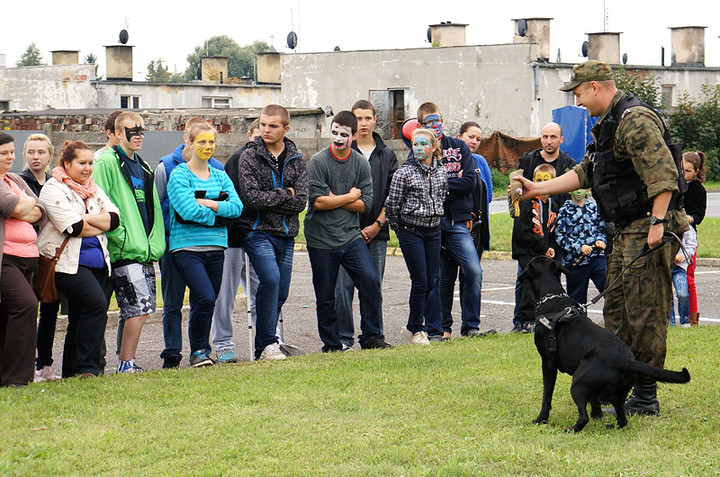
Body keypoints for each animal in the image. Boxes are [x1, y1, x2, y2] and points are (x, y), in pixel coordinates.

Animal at [516, 256, 692, 432]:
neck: (552, 298)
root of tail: (626, 361)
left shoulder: (548, 363)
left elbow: (546, 396)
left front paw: (540, 419)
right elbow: (594, 402)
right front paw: (598, 416)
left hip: (578, 384)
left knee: (583, 417)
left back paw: (571, 429)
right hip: (617, 394)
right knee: (622, 419)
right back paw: (610, 426)